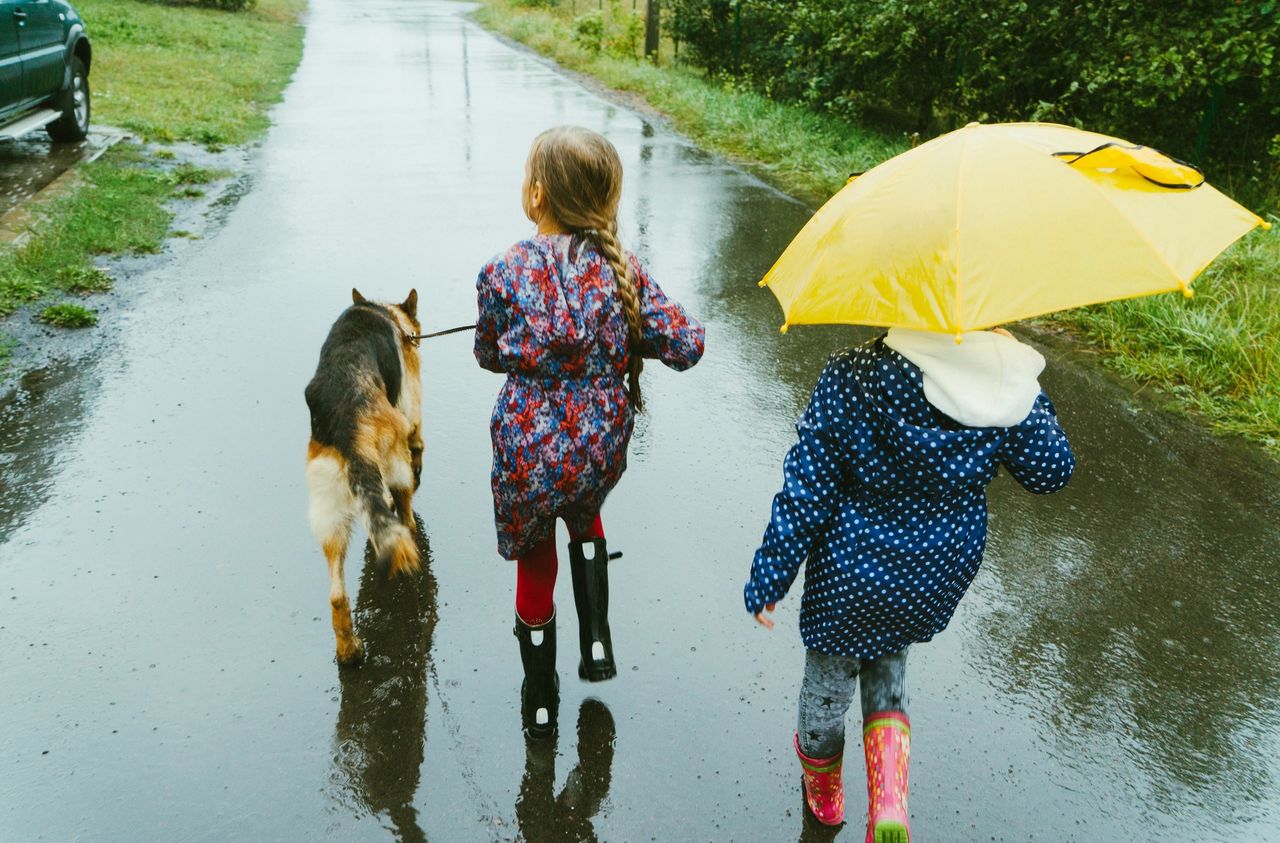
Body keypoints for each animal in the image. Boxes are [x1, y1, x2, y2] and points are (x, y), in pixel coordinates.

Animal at [305, 290, 422, 665]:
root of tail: (348, 422)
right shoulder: (411, 407)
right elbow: (419, 439)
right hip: (396, 467)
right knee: (404, 513)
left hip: (328, 514)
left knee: (336, 595)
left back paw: (350, 651)